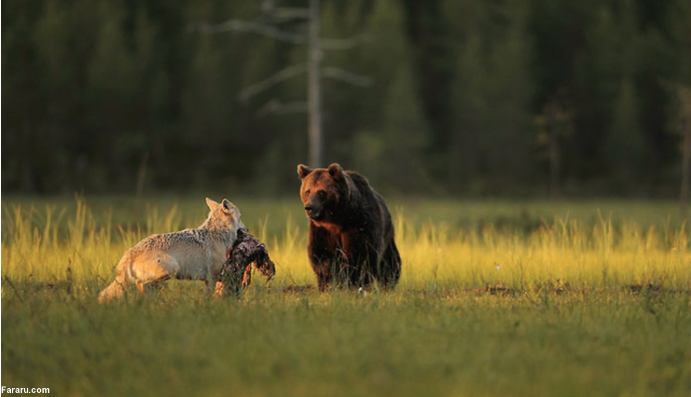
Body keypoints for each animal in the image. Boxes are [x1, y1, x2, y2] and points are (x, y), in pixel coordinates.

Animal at [98, 196, 245, 302]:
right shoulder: (211, 278)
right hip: (172, 269)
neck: (217, 233)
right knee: (140, 283)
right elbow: (208, 299)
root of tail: (130, 252)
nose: (247, 229)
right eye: (241, 217)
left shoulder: (208, 280)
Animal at [296, 162, 402, 290]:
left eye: (321, 192)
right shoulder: (322, 230)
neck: (338, 219)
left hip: (387, 235)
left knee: (390, 262)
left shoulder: (358, 224)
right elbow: (320, 252)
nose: (309, 207)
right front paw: (329, 275)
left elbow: (359, 254)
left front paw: (350, 280)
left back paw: (387, 283)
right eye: (307, 191)